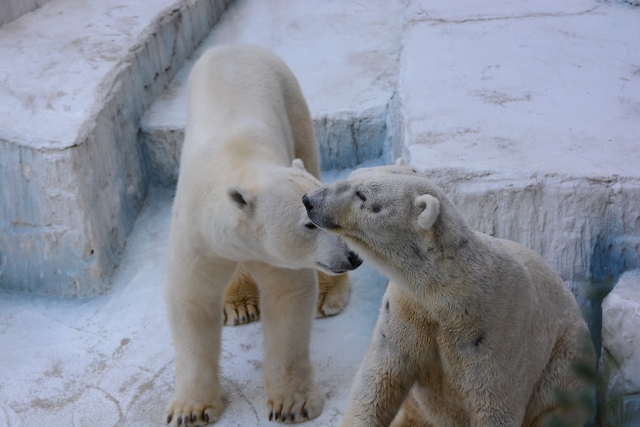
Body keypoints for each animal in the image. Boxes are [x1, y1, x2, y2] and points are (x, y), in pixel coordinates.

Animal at [164, 45, 364, 426]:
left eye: (319, 217)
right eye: (308, 224)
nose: (353, 256)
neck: (236, 164)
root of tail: (233, 47)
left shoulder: (278, 256)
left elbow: (288, 297)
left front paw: (292, 404)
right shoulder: (198, 237)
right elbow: (192, 302)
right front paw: (190, 410)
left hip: (292, 99)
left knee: (308, 152)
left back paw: (327, 297)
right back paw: (238, 304)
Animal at [302, 163, 596, 427]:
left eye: (362, 195)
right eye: (352, 176)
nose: (309, 201)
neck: (444, 292)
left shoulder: (493, 335)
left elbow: (494, 405)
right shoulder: (406, 312)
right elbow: (378, 380)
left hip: (565, 364)